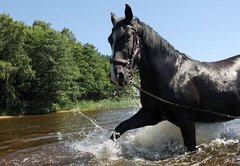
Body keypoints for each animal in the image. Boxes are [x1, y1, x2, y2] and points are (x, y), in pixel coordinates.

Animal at [108, 4, 240, 152]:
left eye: (127, 36)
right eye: (109, 39)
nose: (117, 75)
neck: (172, 75)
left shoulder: (186, 121)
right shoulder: (150, 114)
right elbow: (119, 129)